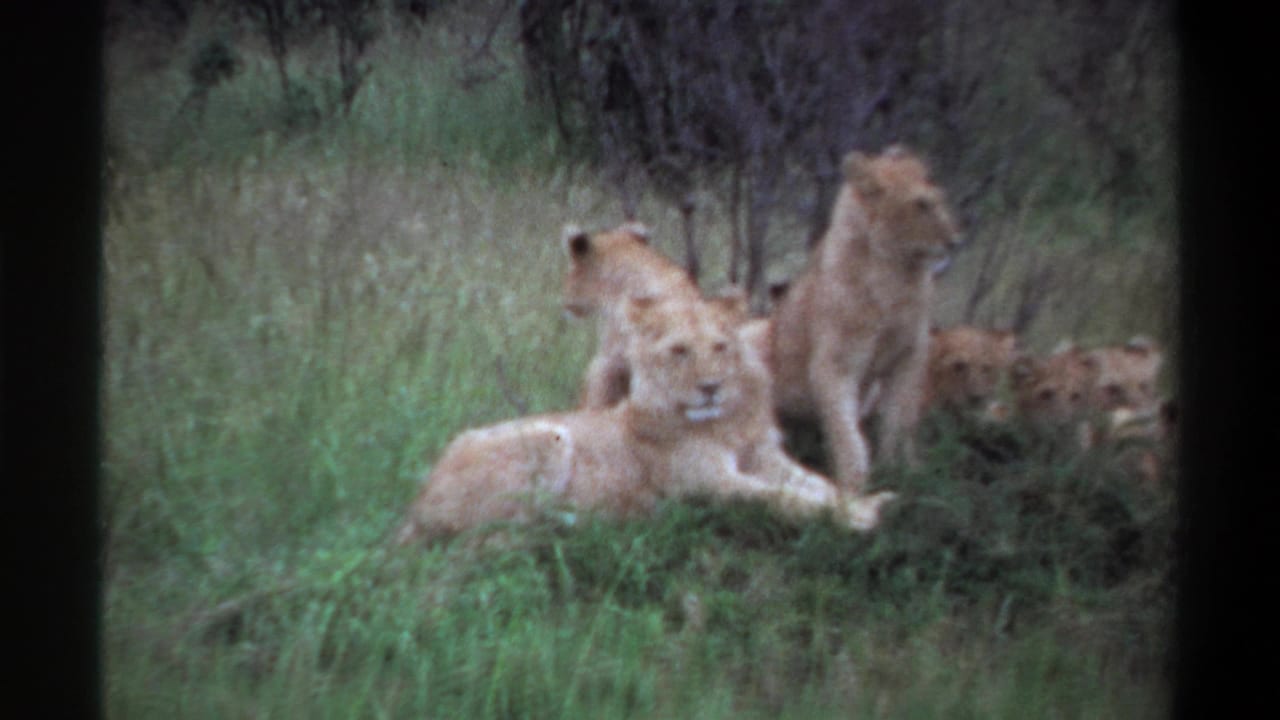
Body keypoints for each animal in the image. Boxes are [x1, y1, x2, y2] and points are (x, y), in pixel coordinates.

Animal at [395, 293, 896, 546]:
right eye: (679, 351)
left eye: (720, 346)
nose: (710, 387)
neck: (725, 422)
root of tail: (416, 501)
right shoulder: (707, 485)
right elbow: (781, 498)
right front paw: (857, 518)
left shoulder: (766, 458)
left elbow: (817, 484)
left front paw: (868, 502)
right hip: (549, 437)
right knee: (495, 531)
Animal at [769, 146, 962, 493]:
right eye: (921, 204)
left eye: (939, 199)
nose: (955, 241)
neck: (896, 276)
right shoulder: (836, 364)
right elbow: (848, 434)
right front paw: (852, 487)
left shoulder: (911, 355)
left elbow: (900, 419)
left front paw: (904, 470)